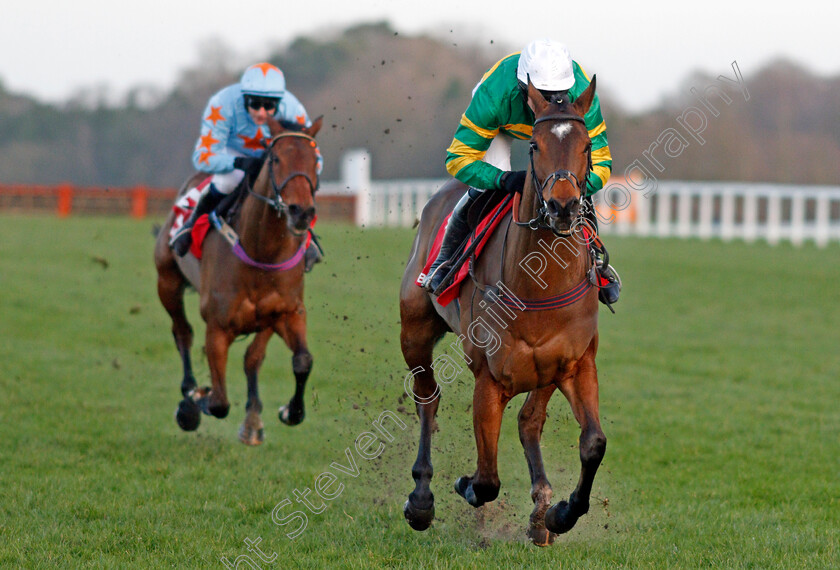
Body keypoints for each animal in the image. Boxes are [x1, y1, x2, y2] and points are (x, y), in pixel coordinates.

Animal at [153, 115, 324, 444]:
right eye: (275, 158)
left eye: (314, 161)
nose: (301, 212)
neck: (262, 251)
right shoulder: (218, 326)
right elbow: (219, 402)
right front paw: (197, 401)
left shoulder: (285, 312)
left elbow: (299, 360)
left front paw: (287, 412)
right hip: (166, 282)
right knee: (182, 332)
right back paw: (190, 395)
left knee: (250, 356)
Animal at [398, 79, 604, 540]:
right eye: (535, 146)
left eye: (585, 145)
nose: (563, 207)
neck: (539, 283)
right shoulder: (489, 378)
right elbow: (488, 480)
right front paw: (464, 484)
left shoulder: (573, 362)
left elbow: (592, 443)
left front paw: (561, 513)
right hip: (414, 330)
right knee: (427, 400)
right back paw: (421, 498)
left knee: (528, 421)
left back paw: (542, 510)